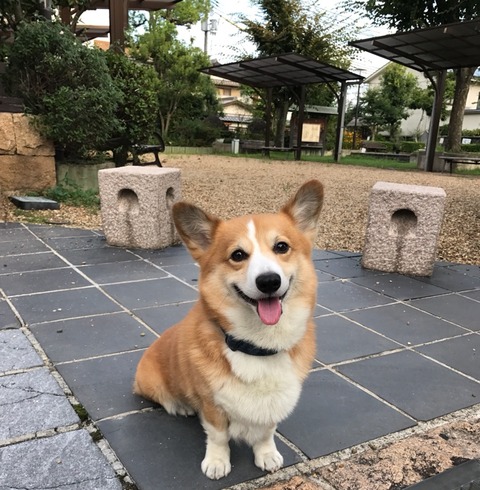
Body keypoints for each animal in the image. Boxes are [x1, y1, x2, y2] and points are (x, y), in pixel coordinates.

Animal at [133, 179, 324, 478]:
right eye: (238, 255)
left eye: (281, 247)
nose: (268, 281)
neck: (259, 346)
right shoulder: (212, 406)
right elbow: (218, 436)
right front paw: (217, 463)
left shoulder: (274, 405)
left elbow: (267, 431)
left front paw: (267, 455)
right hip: (150, 380)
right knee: (164, 398)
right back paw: (180, 405)